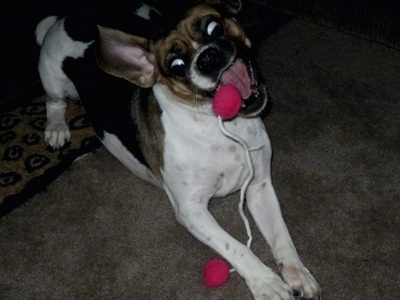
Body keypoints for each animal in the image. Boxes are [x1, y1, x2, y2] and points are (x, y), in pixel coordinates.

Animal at [35, 1, 322, 298]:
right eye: (177, 66)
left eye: (214, 27)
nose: (208, 57)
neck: (216, 125)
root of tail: (69, 17)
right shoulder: (191, 209)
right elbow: (236, 247)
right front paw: (265, 282)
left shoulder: (260, 186)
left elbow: (281, 235)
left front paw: (298, 273)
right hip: (53, 79)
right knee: (54, 103)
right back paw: (56, 128)